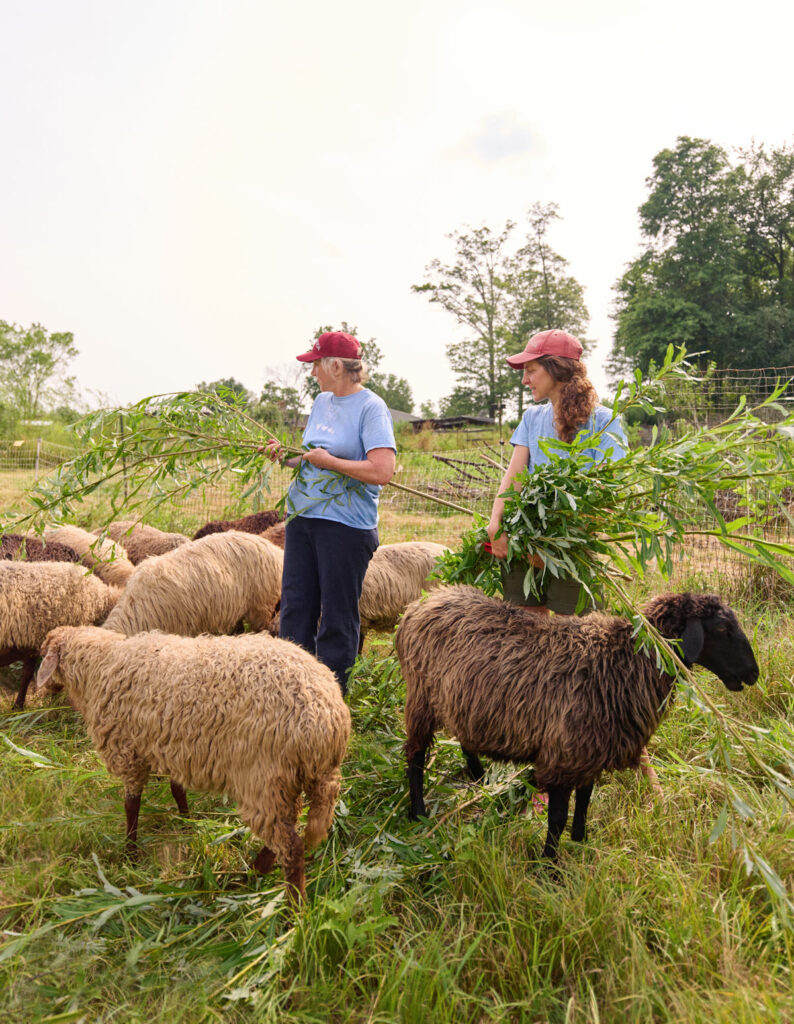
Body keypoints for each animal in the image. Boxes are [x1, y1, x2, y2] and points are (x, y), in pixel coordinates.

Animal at [35, 622, 350, 905]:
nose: (43, 691)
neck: (100, 666)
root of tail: (327, 717)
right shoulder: (173, 748)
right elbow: (178, 791)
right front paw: (187, 823)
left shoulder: (129, 755)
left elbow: (131, 807)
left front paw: (130, 854)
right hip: (289, 780)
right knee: (290, 827)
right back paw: (253, 871)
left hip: (263, 778)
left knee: (291, 847)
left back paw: (294, 910)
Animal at [401, 589, 762, 860]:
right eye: (721, 629)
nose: (752, 674)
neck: (627, 661)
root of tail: (422, 602)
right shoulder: (563, 755)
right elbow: (557, 818)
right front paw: (549, 866)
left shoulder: (590, 749)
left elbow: (585, 798)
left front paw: (581, 839)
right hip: (420, 698)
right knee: (415, 755)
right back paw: (418, 812)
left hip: (462, 699)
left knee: (463, 736)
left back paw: (478, 778)